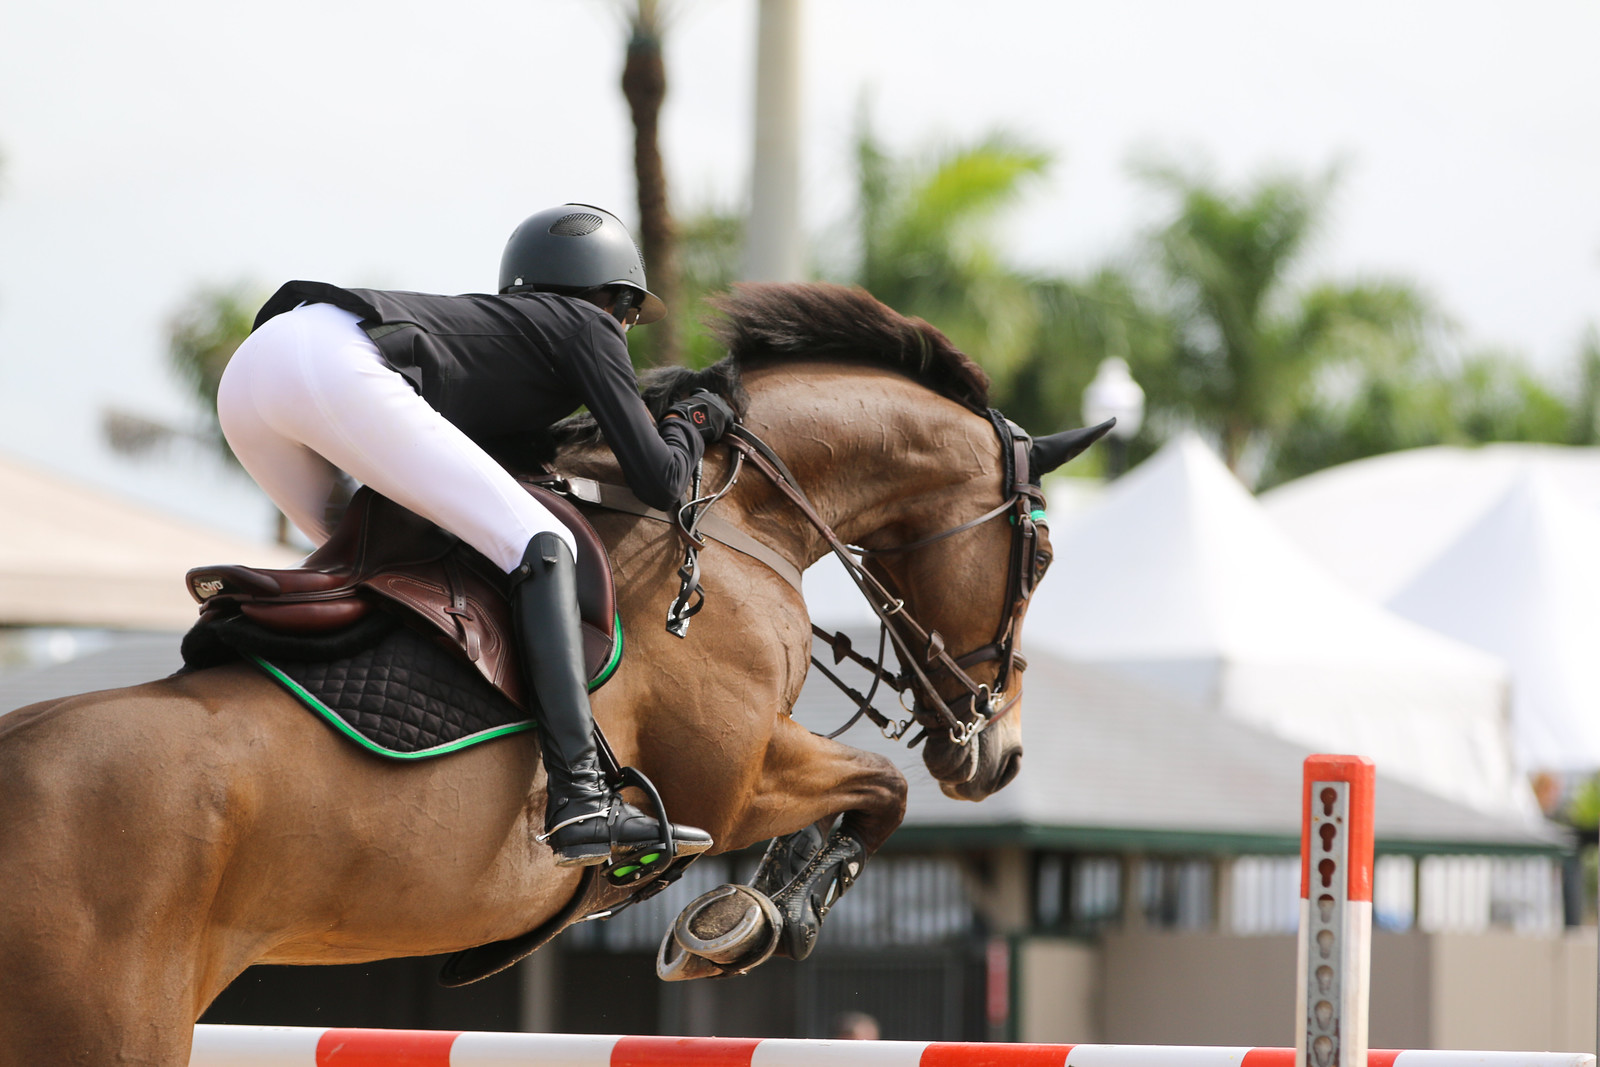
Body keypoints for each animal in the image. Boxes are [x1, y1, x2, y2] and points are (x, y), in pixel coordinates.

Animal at [0, 283, 1094, 1066]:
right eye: (1039, 556)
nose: (997, 754)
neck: (743, 518)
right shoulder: (729, 777)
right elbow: (882, 787)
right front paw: (755, 917)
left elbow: (870, 792)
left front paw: (760, 905)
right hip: (107, 1030)